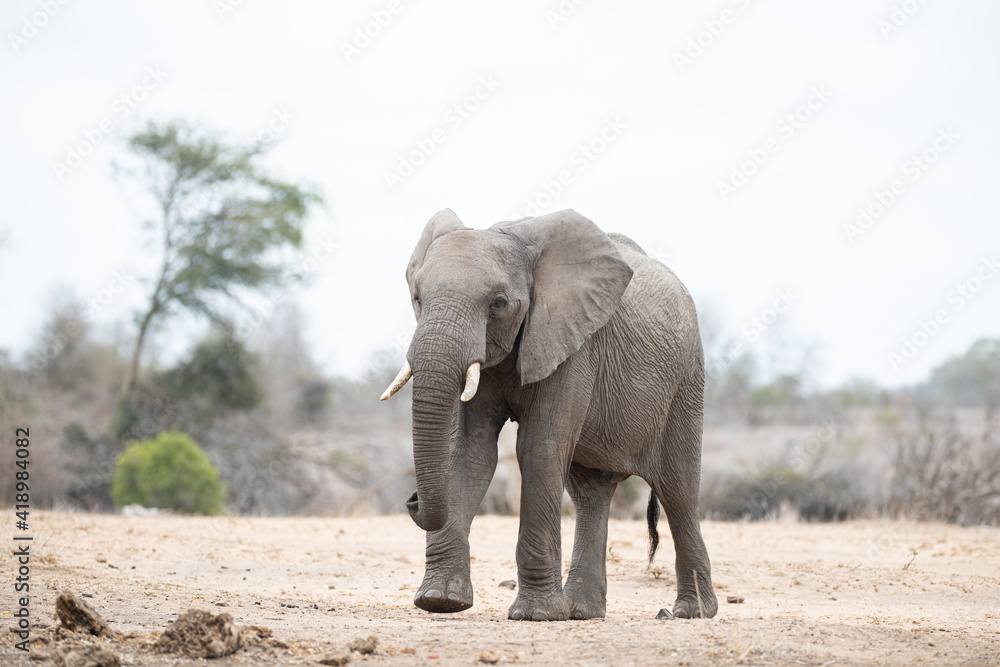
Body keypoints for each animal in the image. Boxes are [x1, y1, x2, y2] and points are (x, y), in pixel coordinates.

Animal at [380, 208, 717, 621]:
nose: (412, 500)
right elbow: (471, 452)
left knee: (678, 489)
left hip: (687, 381)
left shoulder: (573, 344)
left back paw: (691, 612)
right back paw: (582, 611)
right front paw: (440, 601)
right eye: (417, 297)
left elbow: (538, 448)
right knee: (590, 493)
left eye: (498, 303)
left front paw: (535, 615)